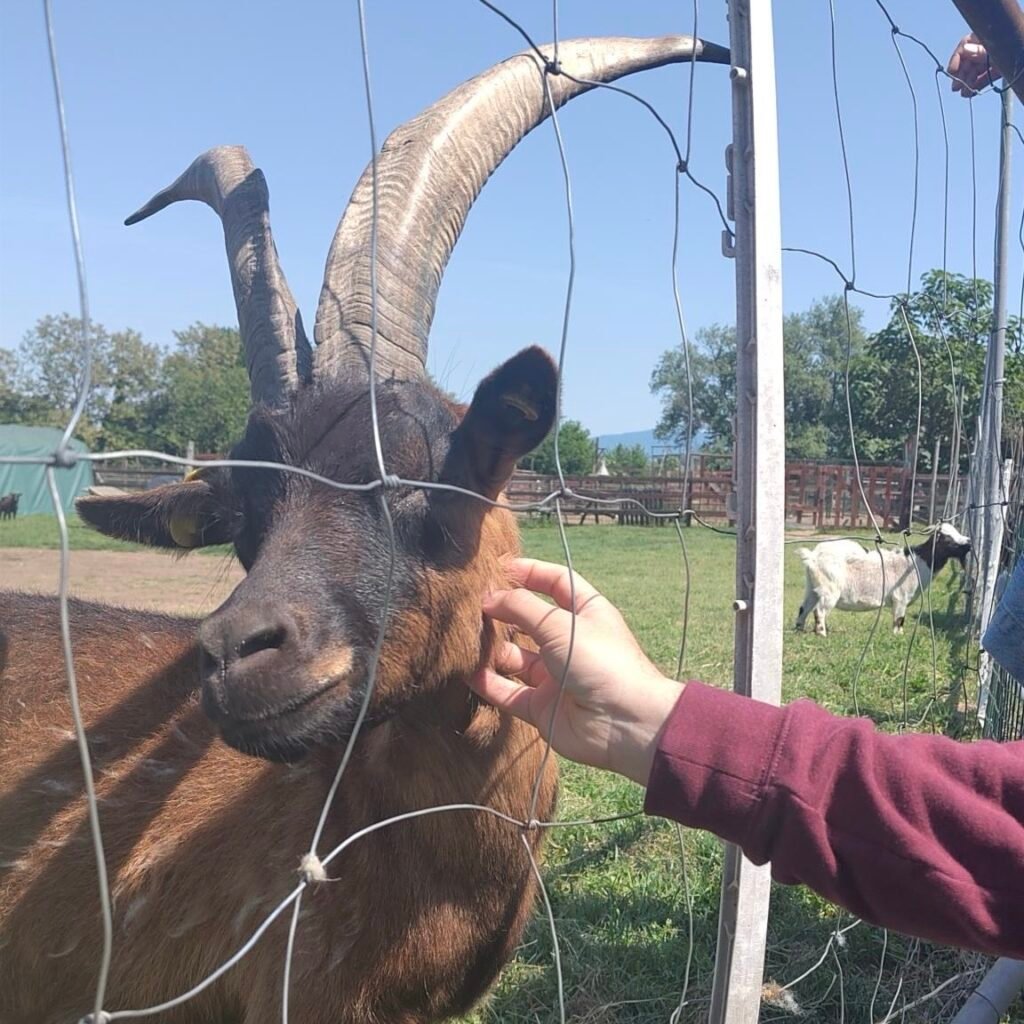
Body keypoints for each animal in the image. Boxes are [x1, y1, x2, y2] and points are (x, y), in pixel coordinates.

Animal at [794, 523, 972, 636]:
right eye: (947, 539)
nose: (968, 543)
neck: (918, 561)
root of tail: (812, 557)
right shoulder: (900, 597)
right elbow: (899, 619)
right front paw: (898, 636)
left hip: (812, 587)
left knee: (804, 608)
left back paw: (799, 630)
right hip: (830, 589)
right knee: (819, 611)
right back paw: (822, 634)